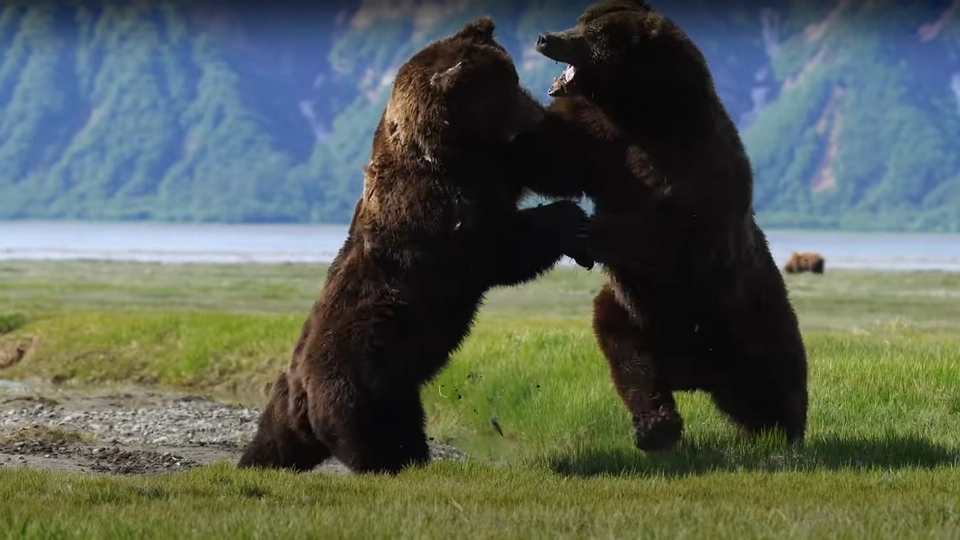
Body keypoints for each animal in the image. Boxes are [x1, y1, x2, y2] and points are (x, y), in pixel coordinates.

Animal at [235, 16, 588, 472]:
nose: (535, 115)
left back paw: (256, 459)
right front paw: (571, 220)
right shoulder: (438, 213)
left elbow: (544, 170)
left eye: (512, 77)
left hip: (312, 395)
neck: (447, 147)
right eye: (504, 86)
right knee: (381, 435)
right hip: (364, 378)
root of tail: (303, 390)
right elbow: (499, 248)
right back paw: (403, 463)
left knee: (275, 437)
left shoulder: (495, 165)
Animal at [510, 1, 808, 452]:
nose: (546, 37)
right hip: (634, 315)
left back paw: (786, 433)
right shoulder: (598, 140)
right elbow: (550, 158)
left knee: (779, 379)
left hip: (756, 319)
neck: (642, 114)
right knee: (632, 360)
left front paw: (587, 232)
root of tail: (697, 374)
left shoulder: (699, 168)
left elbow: (674, 230)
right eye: (579, 20)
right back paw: (656, 426)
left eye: (590, 32)